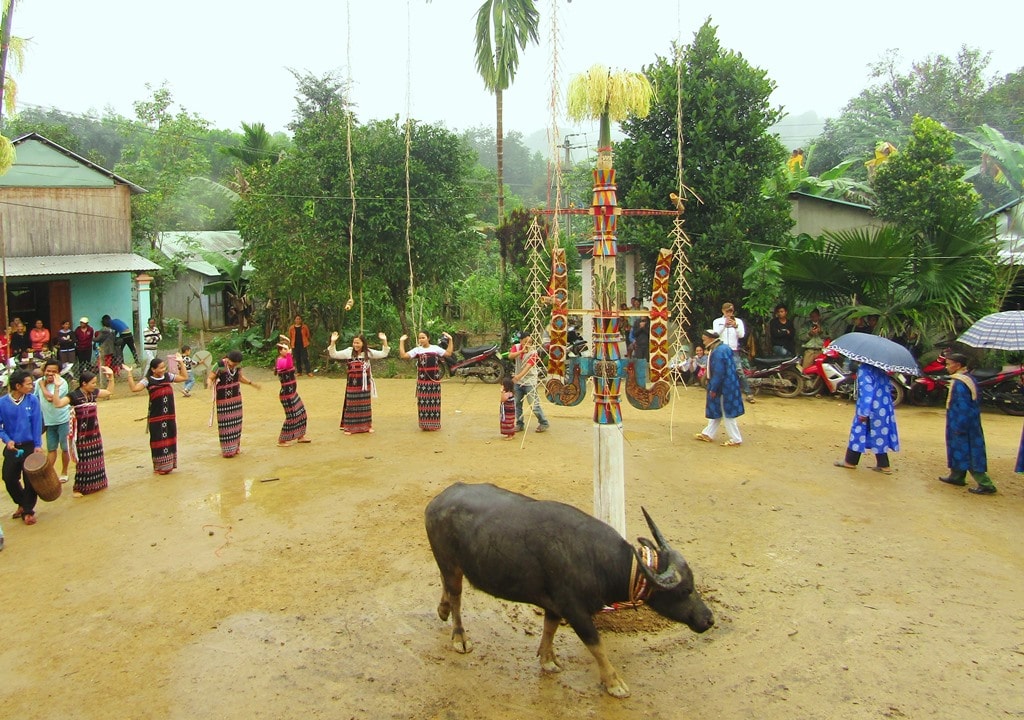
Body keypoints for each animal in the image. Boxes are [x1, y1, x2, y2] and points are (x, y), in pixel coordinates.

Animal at [423, 483, 712, 696]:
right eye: (685, 590)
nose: (708, 619)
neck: (596, 560)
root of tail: (438, 500)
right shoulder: (576, 611)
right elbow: (597, 645)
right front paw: (614, 683)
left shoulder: (554, 606)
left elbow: (549, 629)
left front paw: (547, 659)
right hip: (450, 563)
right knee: (457, 596)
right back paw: (460, 637)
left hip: (453, 566)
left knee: (447, 587)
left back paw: (442, 609)